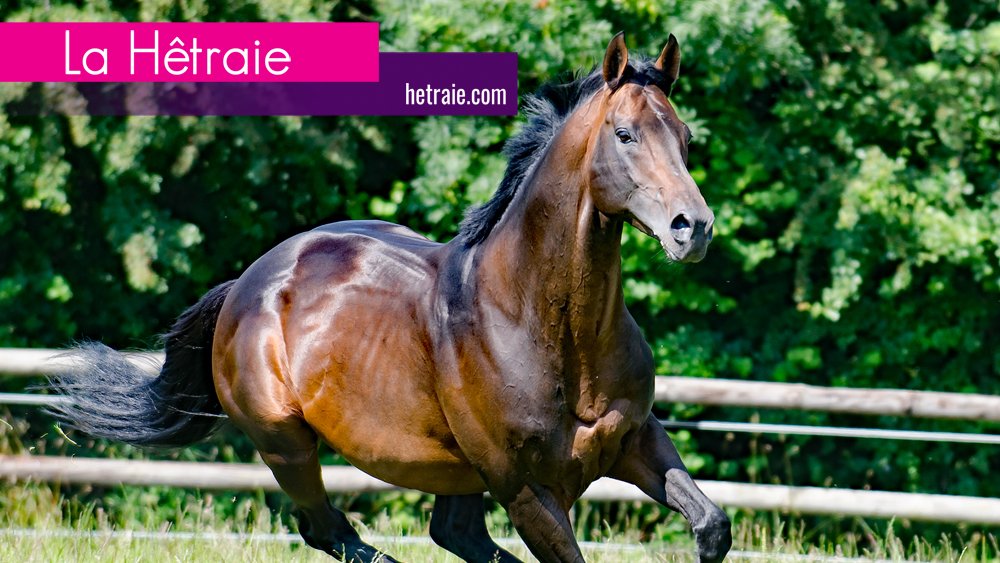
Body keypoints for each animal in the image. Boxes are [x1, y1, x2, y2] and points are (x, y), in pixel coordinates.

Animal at [50, 33, 731, 563]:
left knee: (450, 535)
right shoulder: (528, 491)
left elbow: (713, 526)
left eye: (686, 136)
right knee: (330, 530)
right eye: (625, 134)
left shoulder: (637, 439)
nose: (692, 227)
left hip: (453, 472)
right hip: (285, 443)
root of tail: (246, 283)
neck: (544, 323)